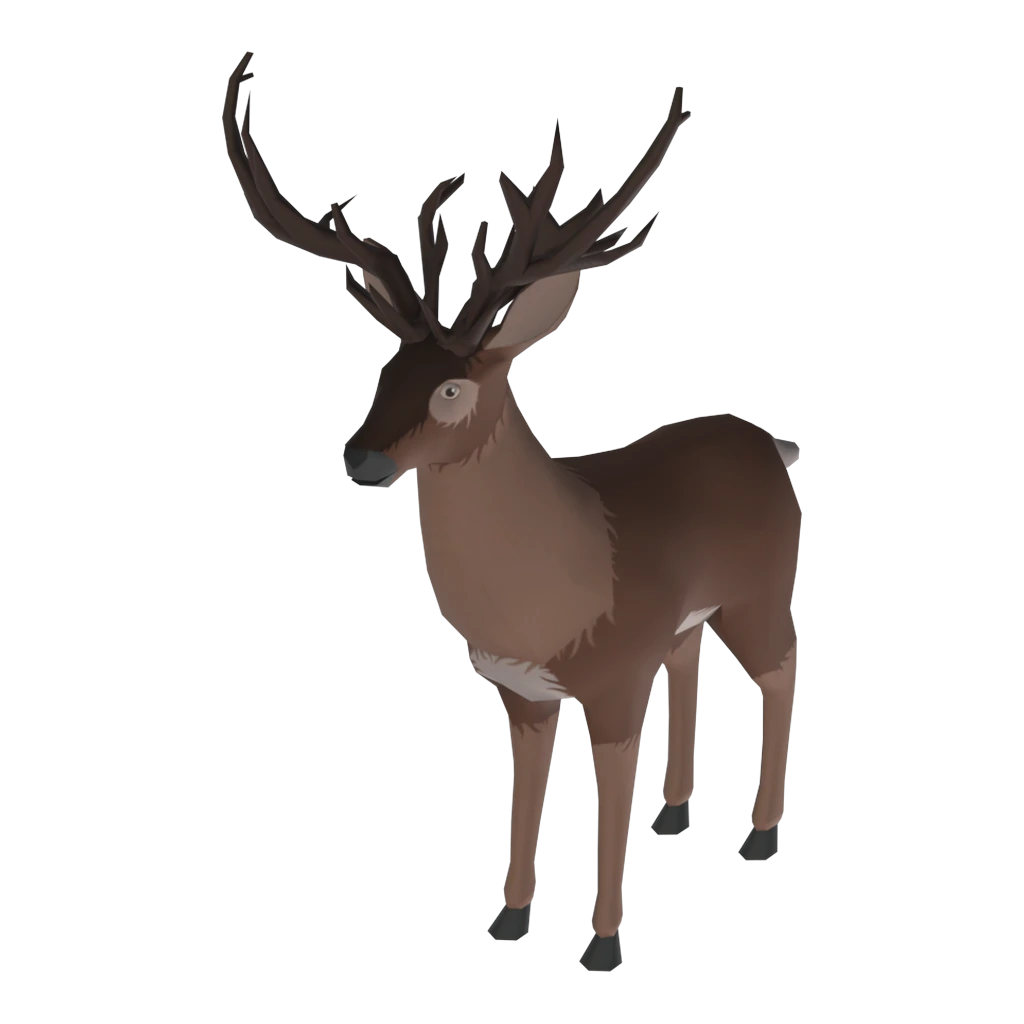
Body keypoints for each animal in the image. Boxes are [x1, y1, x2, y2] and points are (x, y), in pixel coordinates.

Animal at [224, 53, 800, 971]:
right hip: (688, 618)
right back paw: (675, 811)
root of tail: (771, 447)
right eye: (385, 372)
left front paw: (602, 942)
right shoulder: (520, 693)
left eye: (454, 388)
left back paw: (761, 832)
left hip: (759, 590)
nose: (361, 459)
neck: (556, 587)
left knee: (783, 667)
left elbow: (606, 796)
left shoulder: (611, 679)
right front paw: (508, 917)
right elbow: (526, 793)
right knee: (690, 661)